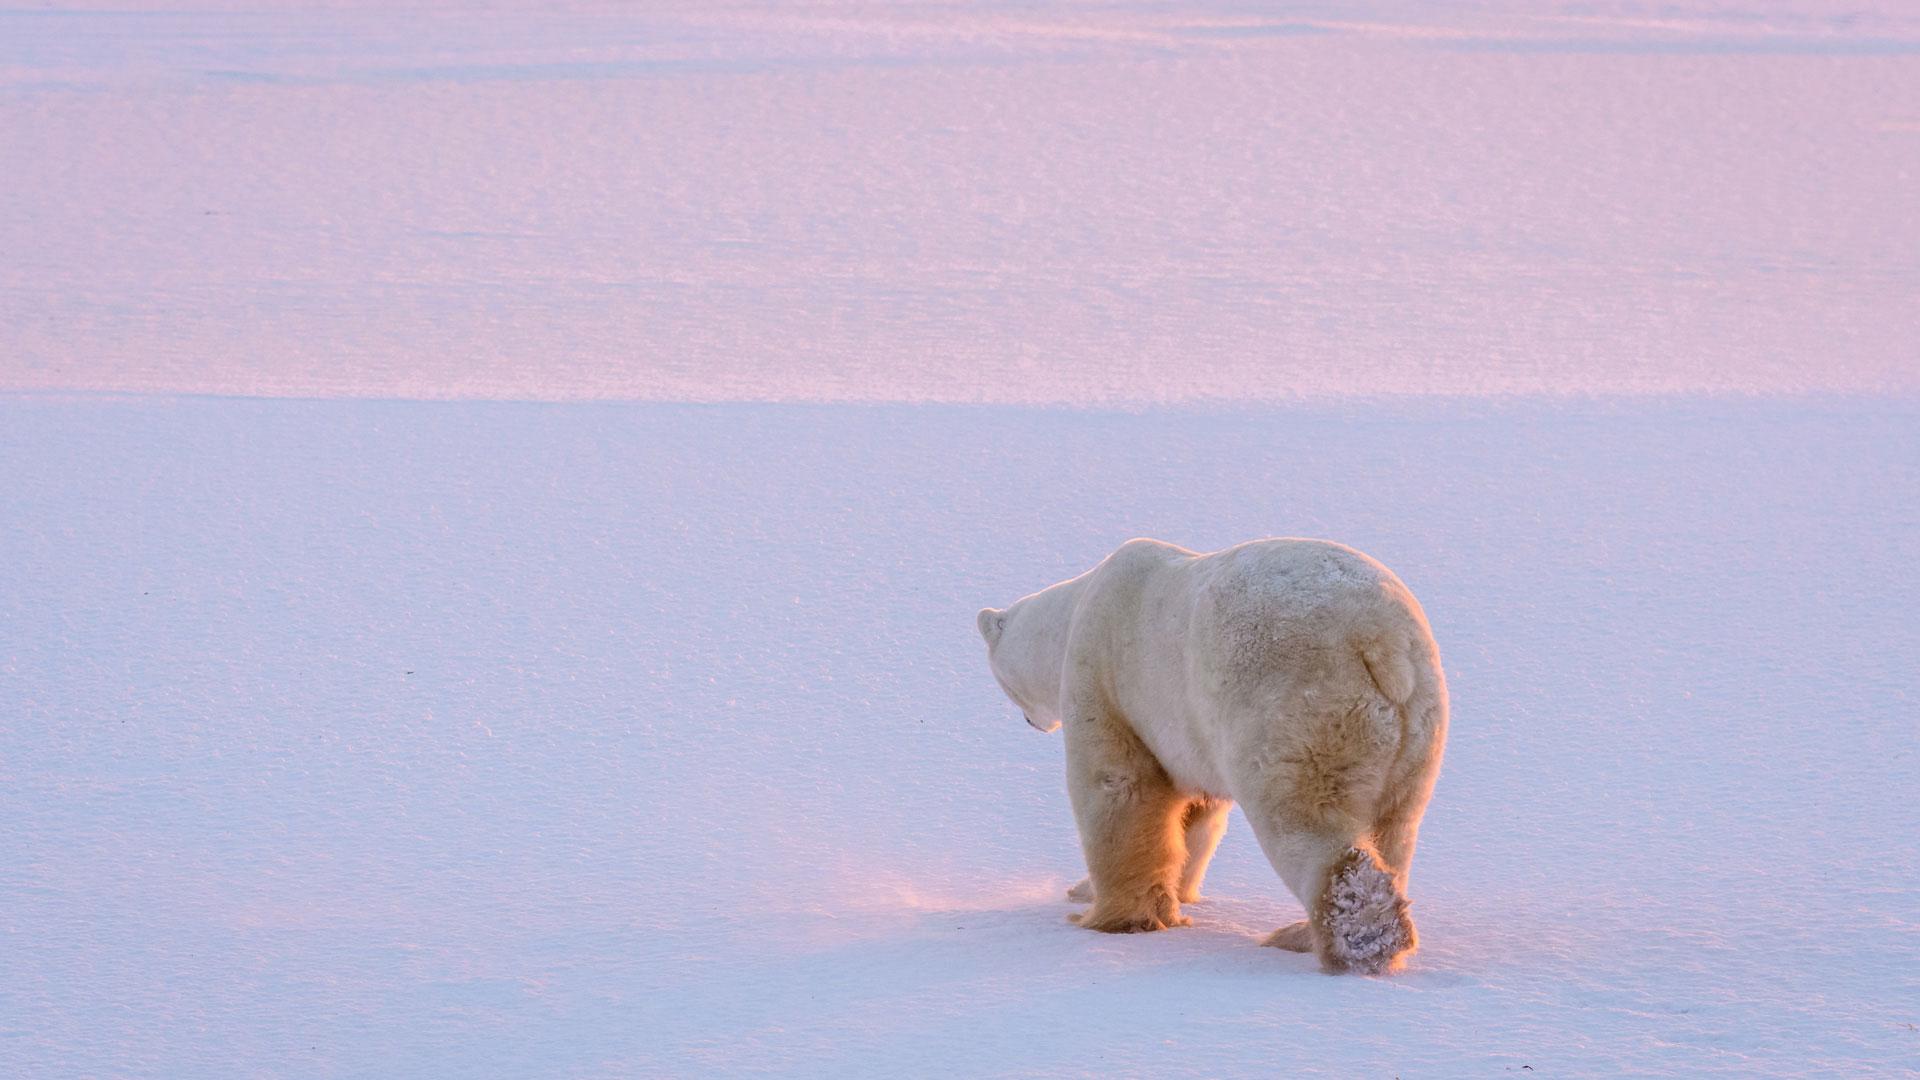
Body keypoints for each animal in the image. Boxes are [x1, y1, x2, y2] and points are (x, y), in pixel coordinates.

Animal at [977, 537, 1448, 975]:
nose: (1030, 722)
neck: (1076, 608)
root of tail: (1380, 641)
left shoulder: (1107, 676)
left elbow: (1118, 788)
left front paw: (1108, 916)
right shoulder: (1189, 730)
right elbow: (1194, 817)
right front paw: (1158, 895)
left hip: (1295, 705)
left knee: (1303, 819)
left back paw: (1346, 943)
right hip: (1417, 731)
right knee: (1394, 828)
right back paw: (1308, 932)